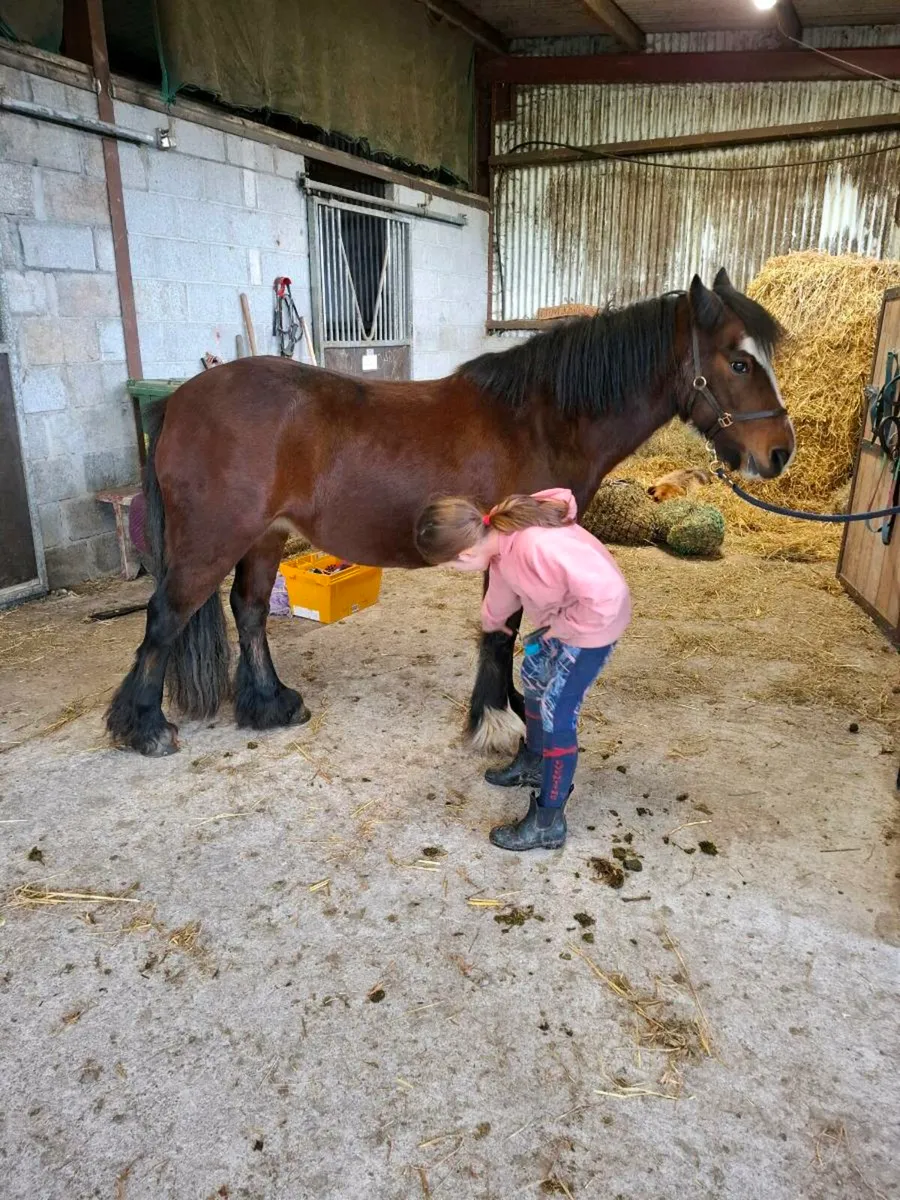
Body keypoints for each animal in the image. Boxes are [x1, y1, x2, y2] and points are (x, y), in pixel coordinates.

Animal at [106, 269, 794, 756]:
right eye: (738, 361)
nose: (779, 452)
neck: (538, 419)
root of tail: (179, 401)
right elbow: (501, 632)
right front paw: (497, 722)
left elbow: (510, 632)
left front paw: (510, 708)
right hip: (213, 540)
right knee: (165, 617)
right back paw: (145, 727)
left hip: (265, 537)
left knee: (247, 611)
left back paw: (272, 703)